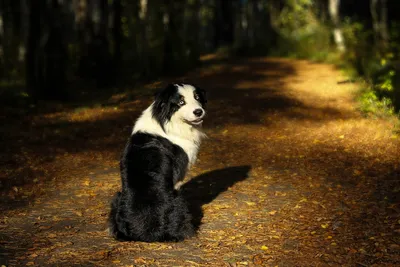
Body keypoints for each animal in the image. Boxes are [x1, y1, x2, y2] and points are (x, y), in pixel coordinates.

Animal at [108, 83, 206, 243]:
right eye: (181, 102)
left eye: (197, 97)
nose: (199, 112)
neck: (168, 121)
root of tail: (145, 234)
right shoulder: (177, 178)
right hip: (178, 200)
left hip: (117, 198)